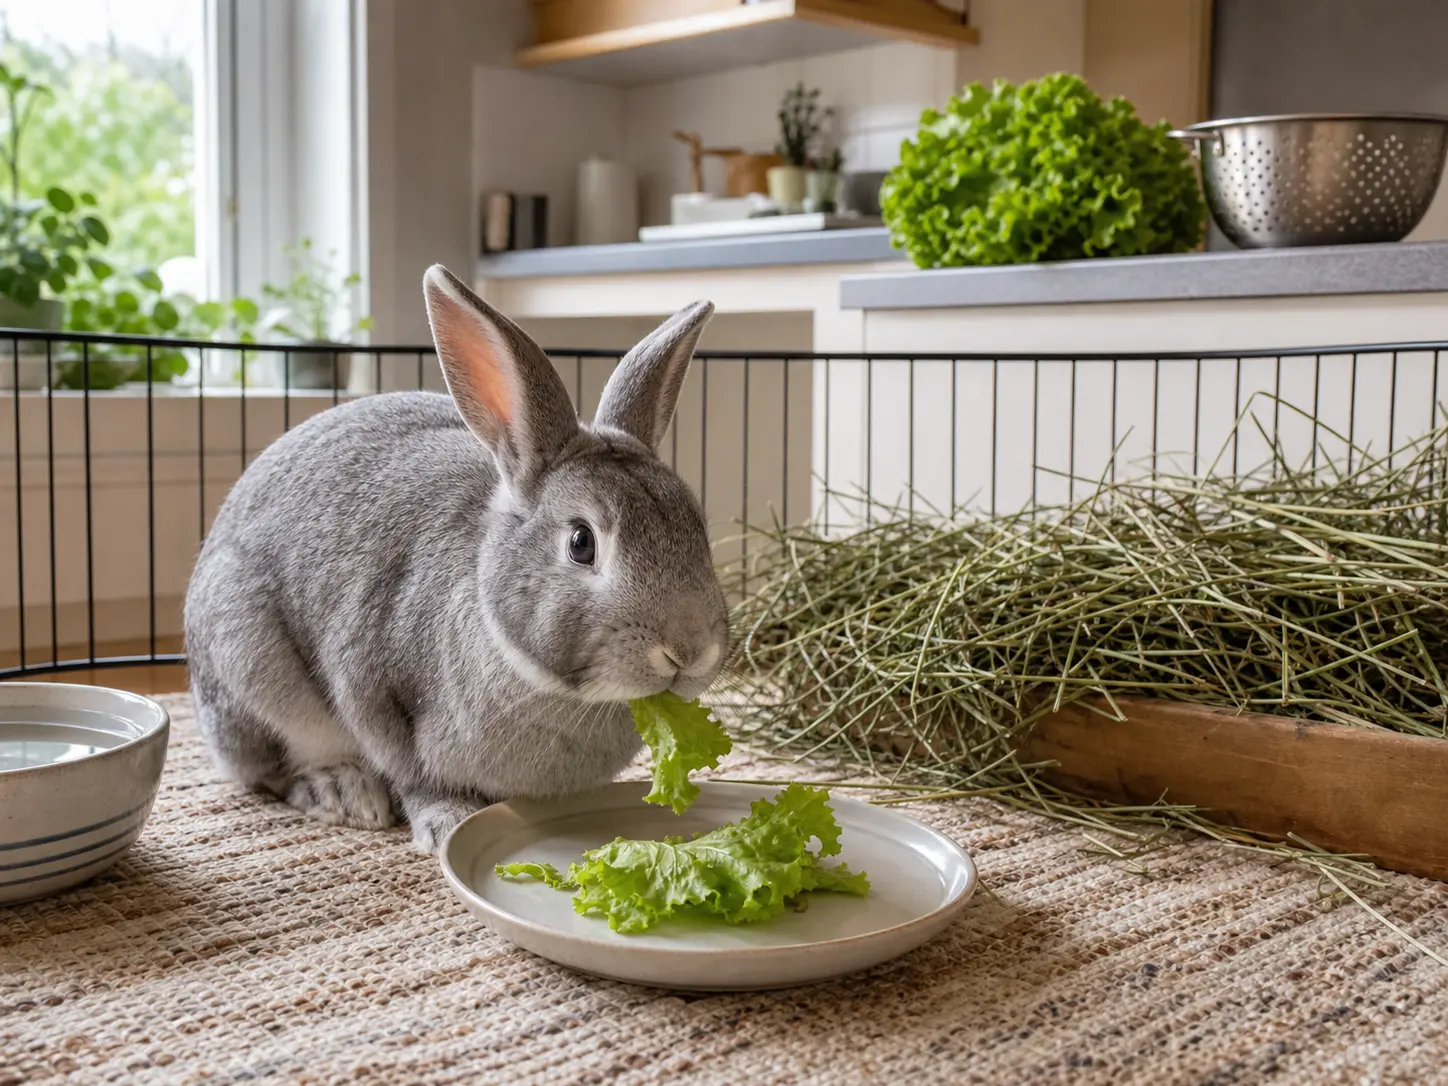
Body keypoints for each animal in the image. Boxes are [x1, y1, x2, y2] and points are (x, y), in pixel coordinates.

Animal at [184, 264, 729, 852]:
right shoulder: (371, 685)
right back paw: (344, 794)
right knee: (268, 770)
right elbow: (414, 775)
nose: (688, 651)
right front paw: (445, 824)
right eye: (581, 542)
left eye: (696, 524)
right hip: (248, 664)